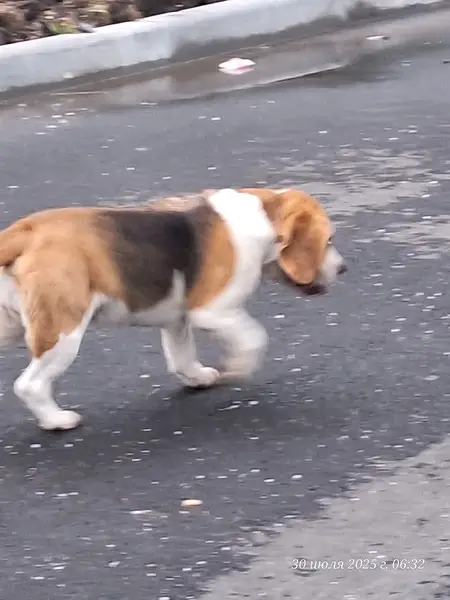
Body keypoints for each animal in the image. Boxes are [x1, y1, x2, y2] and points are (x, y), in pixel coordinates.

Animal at [0, 187, 346, 431]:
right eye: (329, 240)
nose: (343, 268)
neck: (264, 215)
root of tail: (22, 231)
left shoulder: (177, 318)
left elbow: (181, 354)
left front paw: (196, 377)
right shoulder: (213, 310)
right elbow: (254, 338)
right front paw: (237, 367)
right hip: (63, 331)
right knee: (29, 384)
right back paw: (56, 421)